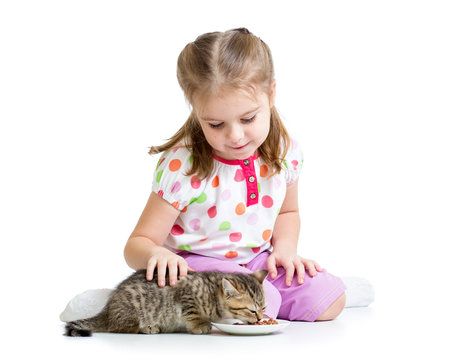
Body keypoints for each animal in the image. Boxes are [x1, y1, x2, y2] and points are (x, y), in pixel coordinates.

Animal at [63, 268, 266, 336]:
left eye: (263, 308)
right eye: (252, 311)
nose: (259, 319)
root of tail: (107, 312)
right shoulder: (186, 293)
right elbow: (193, 311)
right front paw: (200, 325)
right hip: (132, 309)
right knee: (120, 328)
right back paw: (147, 328)